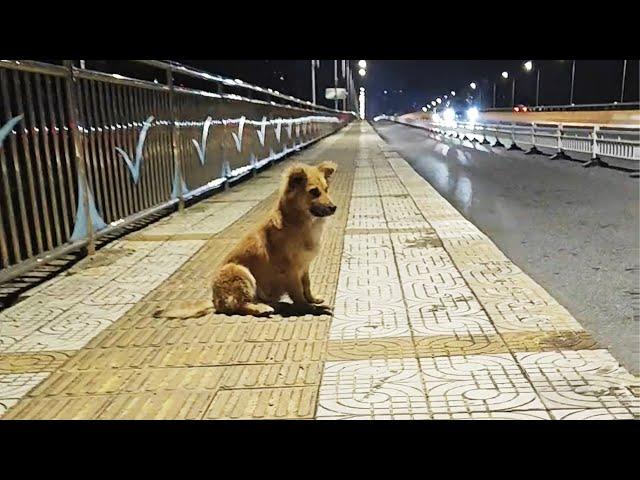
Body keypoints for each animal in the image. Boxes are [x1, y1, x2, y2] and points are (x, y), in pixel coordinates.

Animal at [156, 160, 338, 318]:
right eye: (314, 192)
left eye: (326, 189)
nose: (334, 207)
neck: (298, 222)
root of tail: (215, 301)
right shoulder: (290, 270)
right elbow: (298, 293)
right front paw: (309, 307)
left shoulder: (304, 266)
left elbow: (306, 285)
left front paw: (313, 299)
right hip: (239, 271)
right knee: (239, 305)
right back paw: (262, 308)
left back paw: (273, 304)